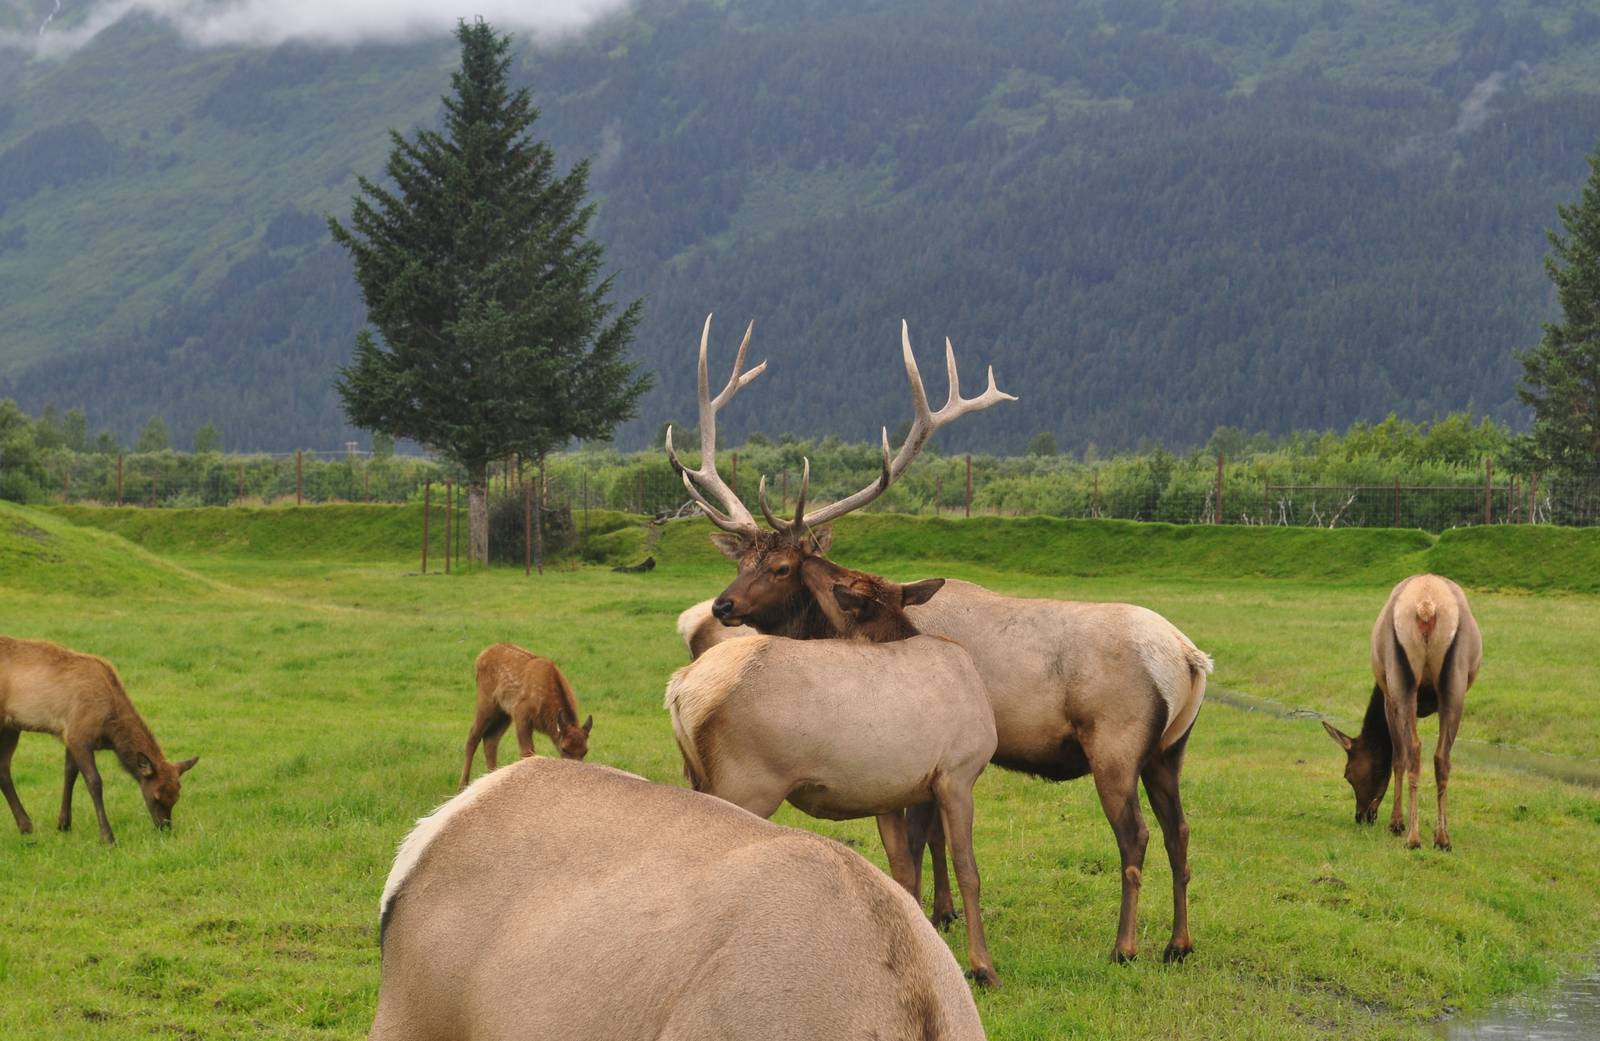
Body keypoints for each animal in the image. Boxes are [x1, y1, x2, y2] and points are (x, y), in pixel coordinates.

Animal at [0, 636, 199, 845]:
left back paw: (25, 826)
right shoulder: (79, 737)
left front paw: (64, 824)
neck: (110, 732)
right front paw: (107, 836)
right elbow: (94, 782)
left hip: (10, 727)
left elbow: (69, 774)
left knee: (3, 769)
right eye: (156, 797)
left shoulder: (71, 736)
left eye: (176, 797)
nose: (165, 828)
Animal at [460, 644, 591, 790]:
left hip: (504, 712)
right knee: (473, 737)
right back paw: (462, 787)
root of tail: (480, 656)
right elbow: (527, 752)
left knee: (490, 740)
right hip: (487, 701)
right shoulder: (521, 712)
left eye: (585, 751)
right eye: (564, 748)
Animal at [666, 315, 1213, 963]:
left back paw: (1124, 946)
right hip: (1168, 750)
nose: (723, 605)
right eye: (742, 558)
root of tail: (1189, 658)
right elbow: (929, 844)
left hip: (1116, 745)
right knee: (1181, 832)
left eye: (781, 567)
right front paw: (944, 913)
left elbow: (923, 842)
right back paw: (1178, 943)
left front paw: (942, 915)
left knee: (1136, 837)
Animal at [1322, 574, 1482, 850]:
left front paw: (1396, 822)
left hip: (1401, 683)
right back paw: (1442, 839)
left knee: (1413, 750)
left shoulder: (1388, 699)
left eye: (1348, 774)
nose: (1361, 816)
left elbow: (1397, 757)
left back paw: (1412, 837)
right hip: (1455, 684)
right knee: (1441, 757)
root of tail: (1427, 607)